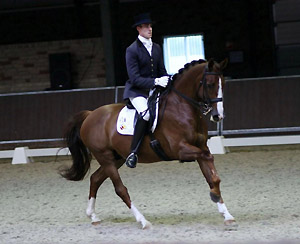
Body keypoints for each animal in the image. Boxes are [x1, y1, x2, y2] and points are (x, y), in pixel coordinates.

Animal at [59, 58, 237, 230]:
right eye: (210, 84)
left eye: (223, 84)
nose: (218, 116)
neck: (181, 106)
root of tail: (90, 115)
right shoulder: (180, 149)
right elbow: (208, 159)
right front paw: (215, 196)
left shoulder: (200, 147)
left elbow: (212, 176)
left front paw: (226, 214)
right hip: (105, 157)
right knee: (120, 189)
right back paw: (143, 221)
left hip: (117, 158)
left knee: (95, 179)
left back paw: (93, 216)